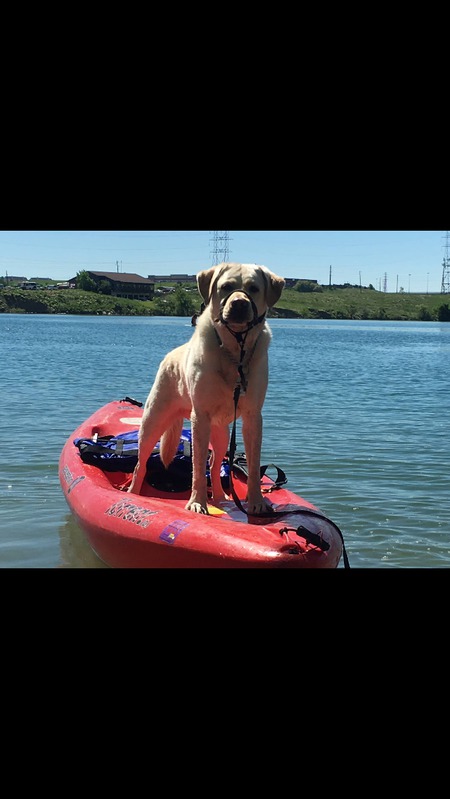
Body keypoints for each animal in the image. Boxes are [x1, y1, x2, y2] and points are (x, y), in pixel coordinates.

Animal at [127, 260, 284, 516]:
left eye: (253, 288)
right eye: (226, 286)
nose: (239, 303)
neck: (234, 352)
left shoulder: (253, 417)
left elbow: (252, 464)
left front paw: (256, 501)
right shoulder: (200, 416)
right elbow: (197, 467)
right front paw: (197, 502)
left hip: (221, 433)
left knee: (216, 462)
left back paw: (220, 497)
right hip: (153, 421)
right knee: (141, 463)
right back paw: (133, 493)